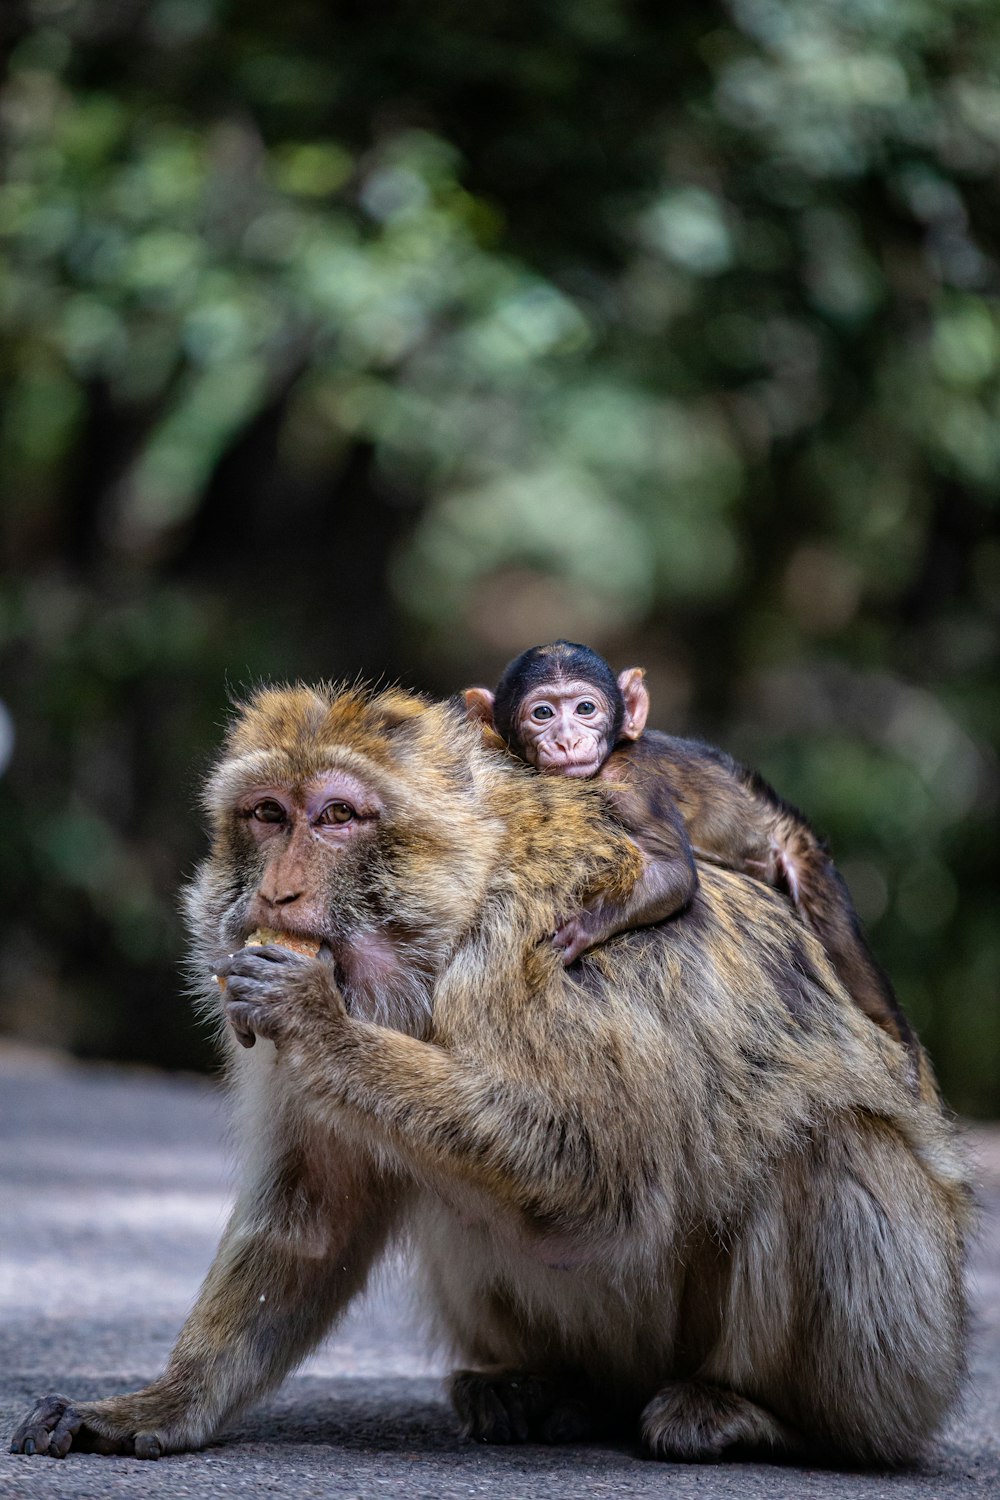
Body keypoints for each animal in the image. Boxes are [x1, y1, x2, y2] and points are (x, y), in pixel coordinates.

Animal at [11, 687, 971, 1458]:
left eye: (337, 816)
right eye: (268, 815)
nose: (276, 894)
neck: (450, 924)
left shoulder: (538, 953)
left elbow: (601, 1178)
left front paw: (321, 1025)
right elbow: (313, 1215)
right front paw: (156, 1407)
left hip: (912, 1364)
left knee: (833, 1149)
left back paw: (762, 1416)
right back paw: (547, 1391)